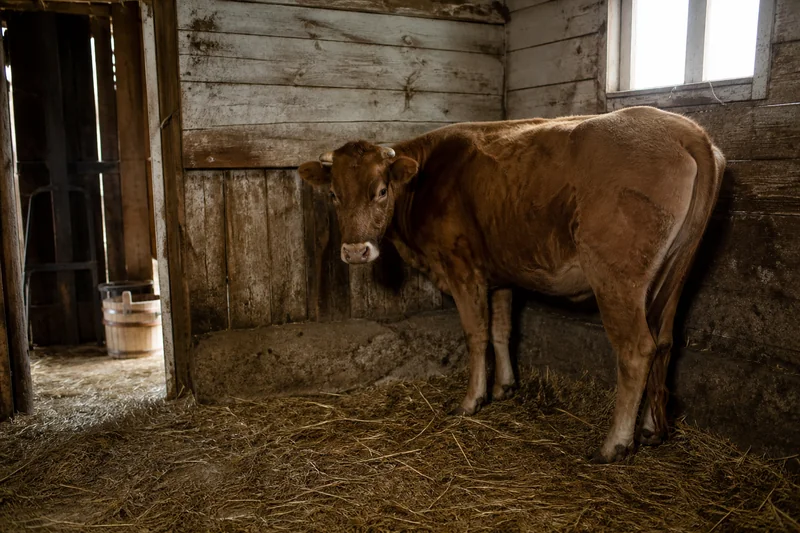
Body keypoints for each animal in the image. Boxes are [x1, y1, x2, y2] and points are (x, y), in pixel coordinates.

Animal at [298, 106, 725, 463]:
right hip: (674, 275)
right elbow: (501, 329)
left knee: (637, 349)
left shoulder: (462, 268)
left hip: (617, 276)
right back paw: (652, 429)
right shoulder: (499, 273)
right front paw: (504, 386)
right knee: (665, 342)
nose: (355, 251)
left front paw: (472, 400)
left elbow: (476, 334)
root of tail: (684, 129)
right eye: (333, 194)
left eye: (382, 191)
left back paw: (615, 444)